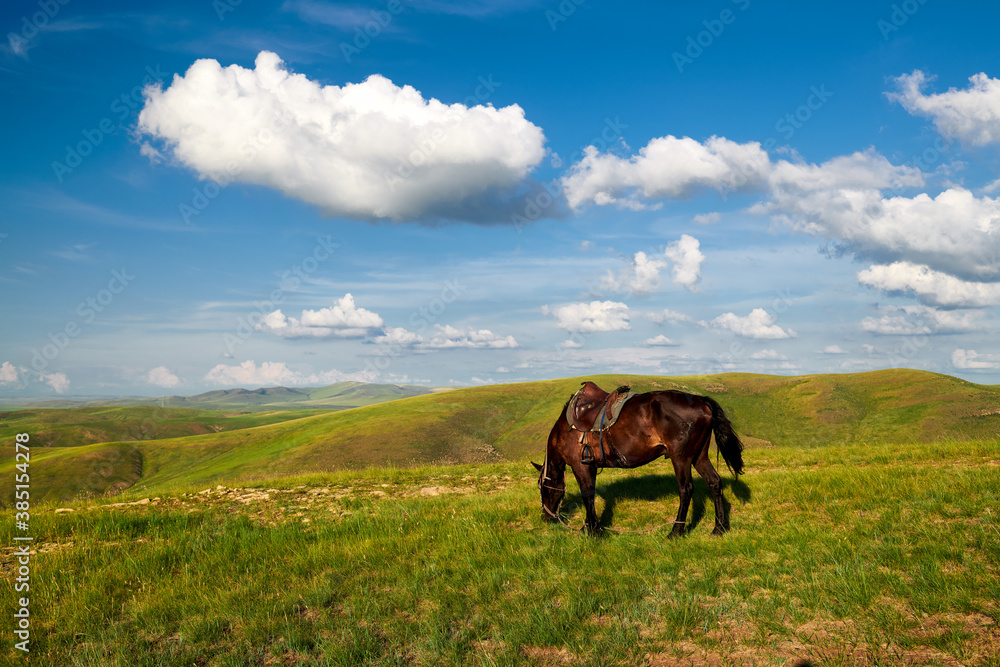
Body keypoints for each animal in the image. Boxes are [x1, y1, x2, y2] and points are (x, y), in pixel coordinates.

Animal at [532, 384, 744, 536]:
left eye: (542, 488)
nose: (546, 518)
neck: (565, 429)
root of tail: (701, 400)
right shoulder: (589, 466)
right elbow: (590, 495)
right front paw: (589, 526)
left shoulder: (579, 466)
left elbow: (587, 494)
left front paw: (592, 530)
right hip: (699, 456)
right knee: (714, 482)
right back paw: (719, 528)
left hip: (681, 458)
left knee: (686, 490)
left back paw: (676, 531)